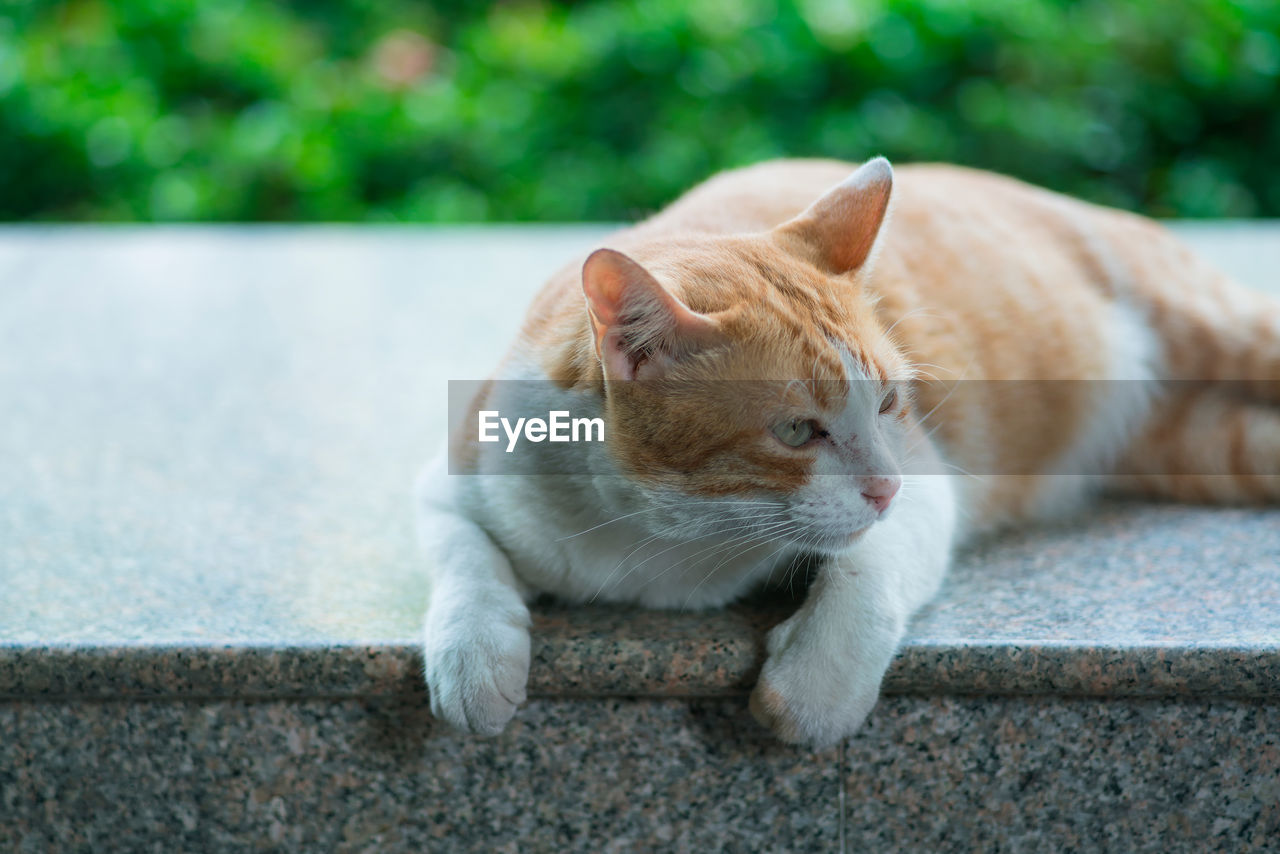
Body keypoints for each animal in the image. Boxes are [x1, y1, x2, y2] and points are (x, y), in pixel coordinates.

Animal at [417, 156, 1280, 742]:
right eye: (799, 430)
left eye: (890, 402)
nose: (883, 487)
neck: (661, 539)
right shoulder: (460, 476)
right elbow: (464, 561)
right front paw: (476, 664)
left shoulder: (926, 478)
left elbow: (868, 570)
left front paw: (814, 688)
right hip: (1207, 447)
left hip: (1215, 325)